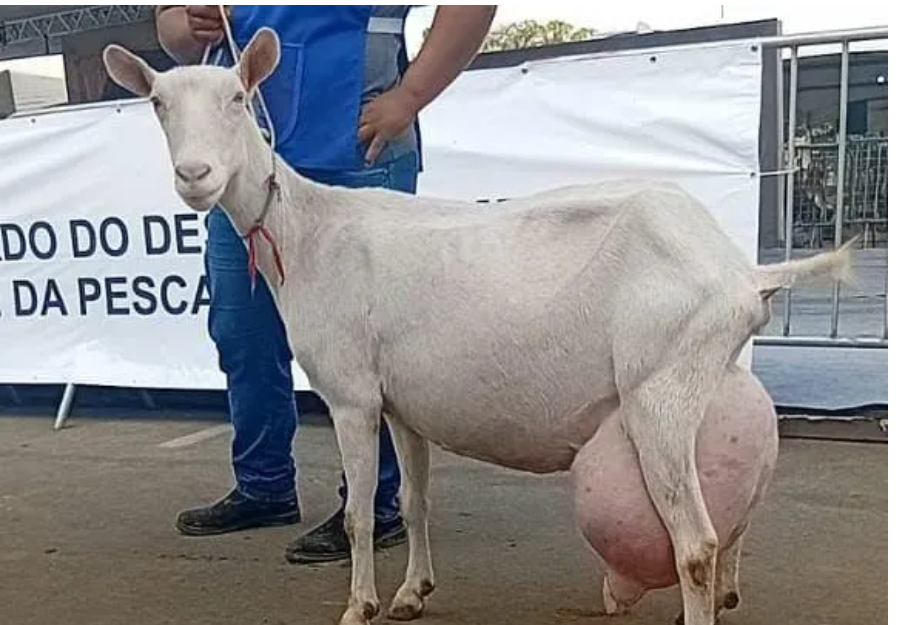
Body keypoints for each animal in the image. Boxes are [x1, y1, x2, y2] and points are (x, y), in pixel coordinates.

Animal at [103, 27, 854, 625]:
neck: (307, 228)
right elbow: (412, 501)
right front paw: (412, 594)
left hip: (661, 389)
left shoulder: (351, 394)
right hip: (710, 383)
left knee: (695, 542)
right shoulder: (400, 402)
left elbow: (356, 512)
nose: (194, 174)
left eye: (237, 98)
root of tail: (741, 273)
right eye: (158, 103)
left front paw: (358, 606)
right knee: (733, 524)